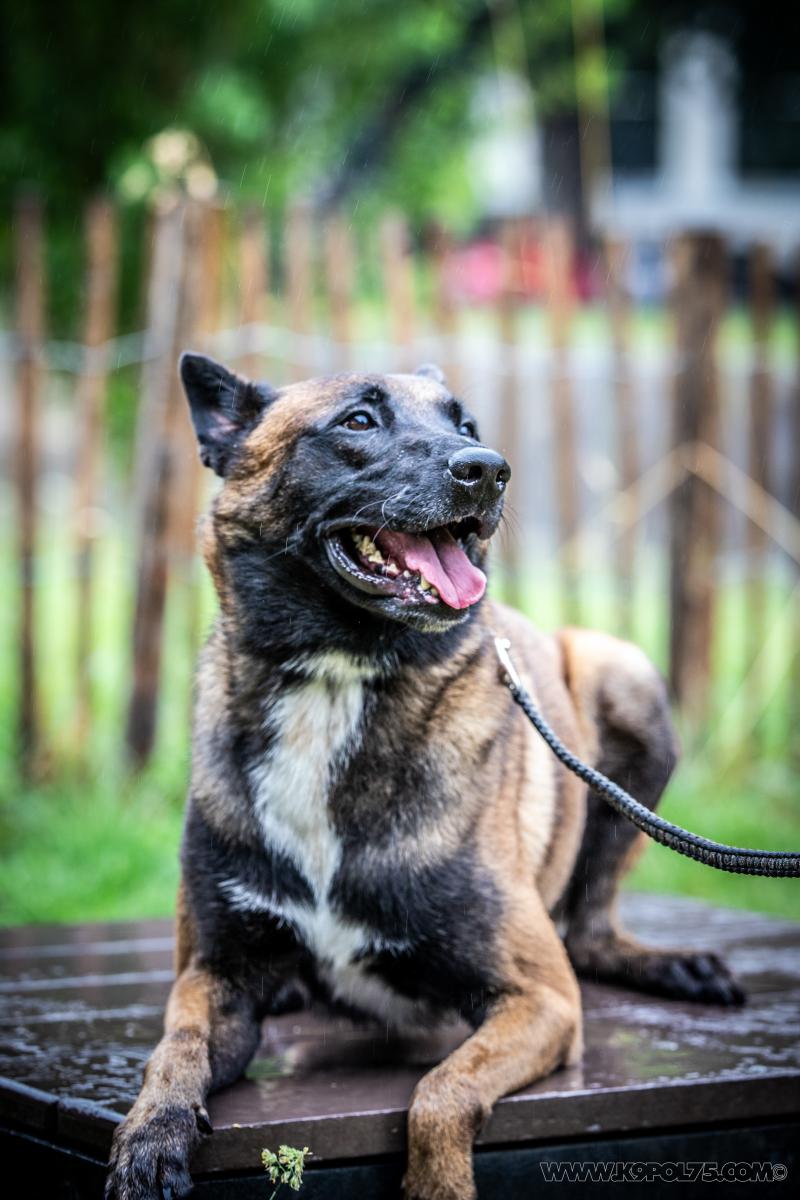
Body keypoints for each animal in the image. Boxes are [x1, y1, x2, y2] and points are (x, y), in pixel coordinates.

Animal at [106, 354, 743, 1200]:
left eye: (465, 425)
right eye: (358, 421)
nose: (489, 470)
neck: (337, 679)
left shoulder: (540, 1000)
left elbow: (439, 1094)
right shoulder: (215, 974)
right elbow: (172, 1048)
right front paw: (151, 1134)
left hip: (626, 674)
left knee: (592, 929)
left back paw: (679, 966)